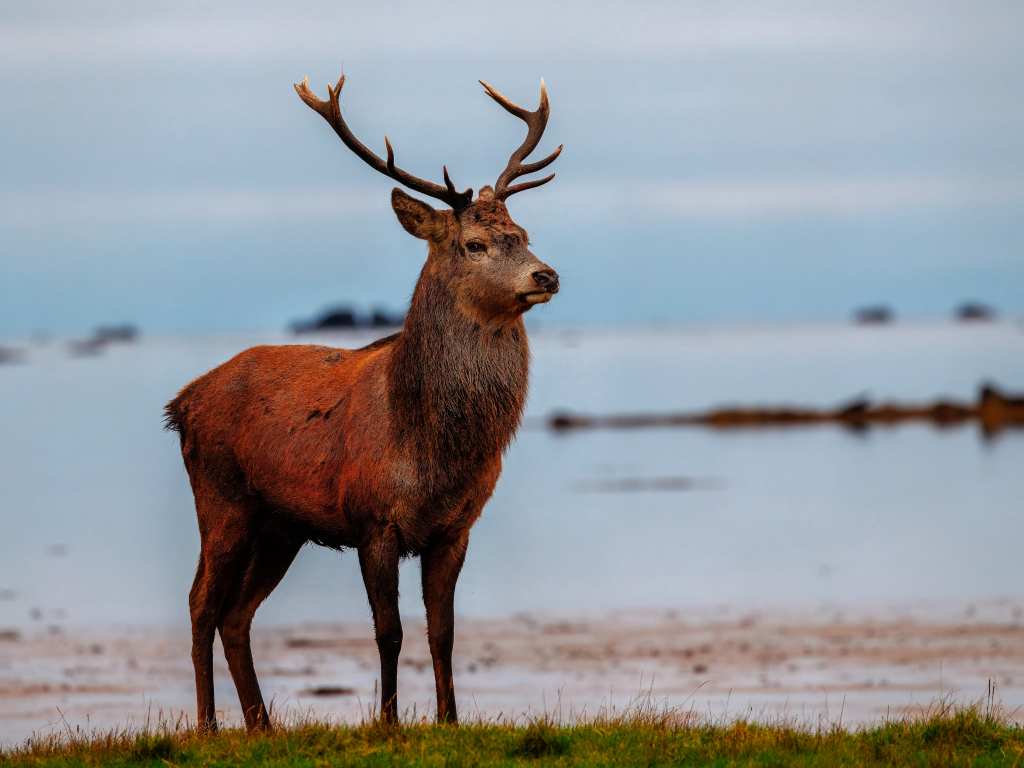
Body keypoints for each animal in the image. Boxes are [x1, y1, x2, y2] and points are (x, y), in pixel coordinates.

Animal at [164, 70, 562, 733]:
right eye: (475, 244)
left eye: (524, 235)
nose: (546, 275)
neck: (434, 449)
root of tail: (183, 402)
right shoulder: (373, 519)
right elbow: (389, 631)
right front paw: (390, 722)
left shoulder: (456, 527)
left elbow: (443, 633)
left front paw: (449, 722)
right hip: (221, 497)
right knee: (200, 603)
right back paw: (209, 726)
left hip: (281, 525)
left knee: (237, 614)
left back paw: (261, 726)